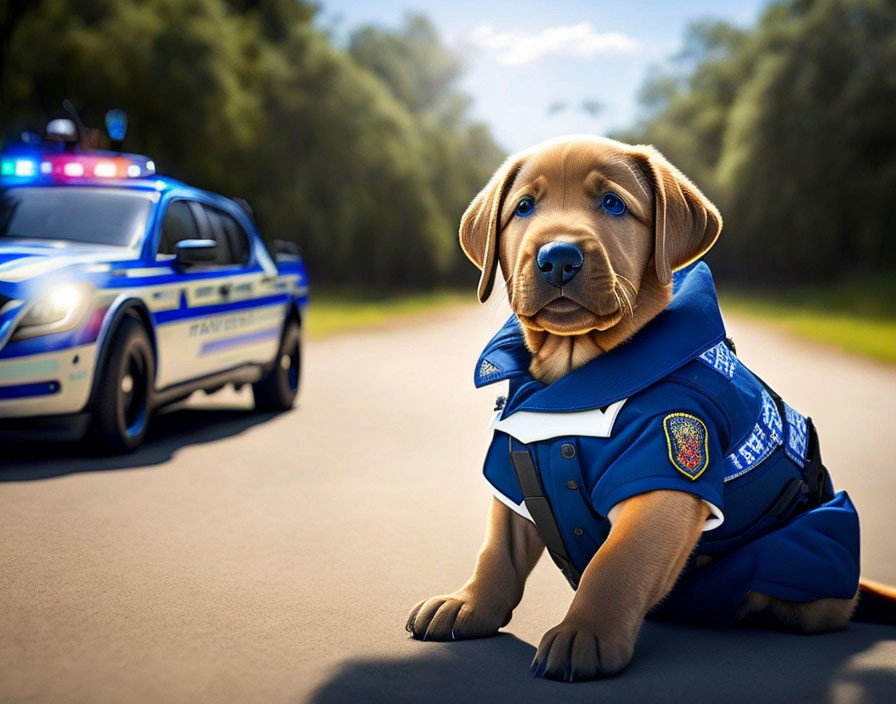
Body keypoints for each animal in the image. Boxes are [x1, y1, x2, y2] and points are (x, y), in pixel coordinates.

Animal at [408, 135, 896, 680]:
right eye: (524, 208)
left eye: (613, 204)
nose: (558, 257)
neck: (573, 375)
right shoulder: (514, 460)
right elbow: (497, 550)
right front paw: (469, 604)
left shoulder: (667, 466)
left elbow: (616, 565)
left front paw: (585, 633)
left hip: (808, 550)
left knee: (822, 599)